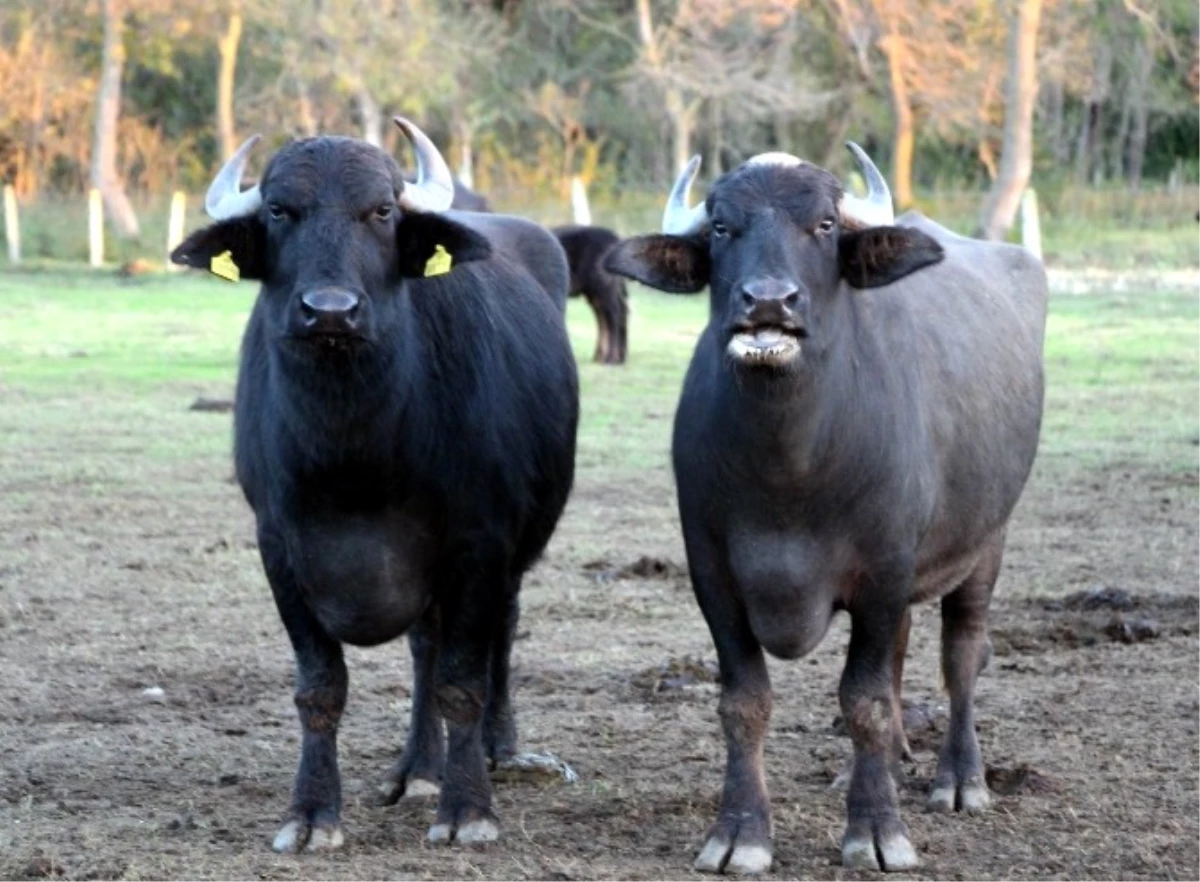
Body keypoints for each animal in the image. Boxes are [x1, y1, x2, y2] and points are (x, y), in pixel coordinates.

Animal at [171, 120, 578, 854]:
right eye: (280, 211)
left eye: (382, 211)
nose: (329, 311)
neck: (354, 452)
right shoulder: (280, 549)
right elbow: (321, 688)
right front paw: (310, 815)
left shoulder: (479, 543)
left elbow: (463, 681)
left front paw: (467, 809)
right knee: (424, 649)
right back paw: (416, 769)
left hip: (511, 554)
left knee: (498, 635)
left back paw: (498, 752)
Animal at [549, 228, 628, 369]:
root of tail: (614, 237)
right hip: (596, 291)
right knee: (608, 317)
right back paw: (609, 358)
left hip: (604, 286)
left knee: (614, 315)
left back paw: (611, 358)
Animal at [604, 148, 1046, 873]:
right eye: (721, 226)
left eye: (825, 224)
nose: (768, 301)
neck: (791, 467)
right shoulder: (713, 576)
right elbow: (745, 703)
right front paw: (740, 834)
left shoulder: (885, 571)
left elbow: (864, 699)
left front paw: (877, 832)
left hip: (989, 539)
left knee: (961, 653)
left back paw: (959, 778)